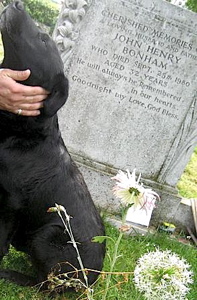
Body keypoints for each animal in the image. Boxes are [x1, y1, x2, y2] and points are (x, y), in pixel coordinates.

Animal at [0, 0, 105, 290]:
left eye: (43, 39)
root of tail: (90, 280)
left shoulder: (10, 203)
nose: (17, 3)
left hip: (47, 235)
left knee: (44, 284)